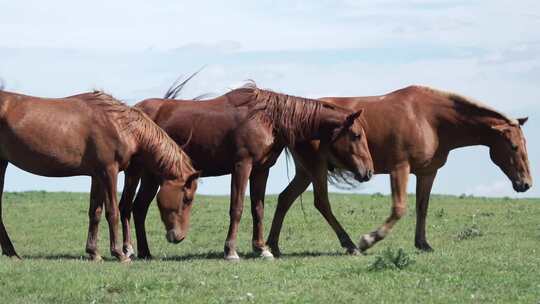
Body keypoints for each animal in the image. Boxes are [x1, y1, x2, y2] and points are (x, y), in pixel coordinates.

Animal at [0, 88, 200, 262]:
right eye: (187, 199)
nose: (179, 237)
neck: (119, 124)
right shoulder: (108, 172)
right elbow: (113, 212)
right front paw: (119, 253)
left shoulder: (96, 176)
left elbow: (95, 212)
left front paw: (93, 252)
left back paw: (11, 252)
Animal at [118, 83, 374, 262]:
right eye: (356, 135)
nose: (368, 171)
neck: (268, 118)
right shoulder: (242, 166)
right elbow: (238, 207)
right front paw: (231, 250)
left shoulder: (261, 170)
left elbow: (258, 209)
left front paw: (261, 249)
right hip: (136, 173)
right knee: (126, 206)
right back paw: (128, 250)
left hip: (152, 176)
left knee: (139, 208)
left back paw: (145, 252)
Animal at [266, 84, 532, 255]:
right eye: (514, 146)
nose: (526, 183)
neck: (430, 118)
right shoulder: (400, 168)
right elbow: (399, 208)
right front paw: (369, 239)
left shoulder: (427, 173)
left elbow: (422, 207)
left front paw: (423, 243)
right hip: (317, 169)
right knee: (321, 203)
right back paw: (350, 244)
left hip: (305, 172)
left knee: (285, 199)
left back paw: (273, 246)